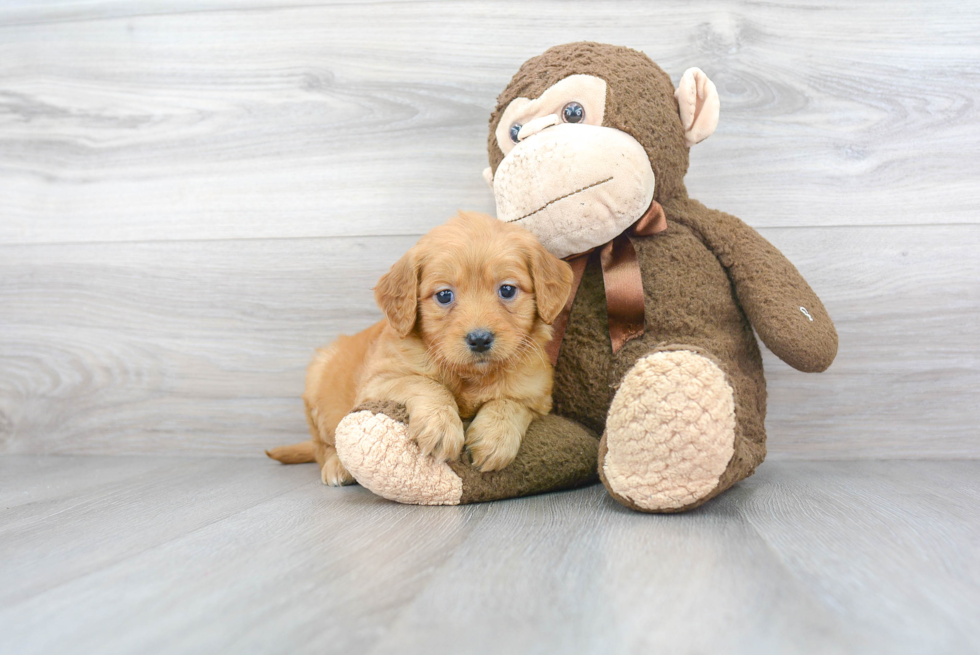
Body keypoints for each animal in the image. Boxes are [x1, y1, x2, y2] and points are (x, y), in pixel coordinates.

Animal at [268, 213, 576, 484]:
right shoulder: (377, 383)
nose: (479, 339)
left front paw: (495, 438)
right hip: (318, 389)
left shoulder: (537, 396)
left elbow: (509, 402)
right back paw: (337, 467)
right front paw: (440, 426)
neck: (470, 377)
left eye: (508, 290)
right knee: (323, 446)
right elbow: (425, 383)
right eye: (444, 295)